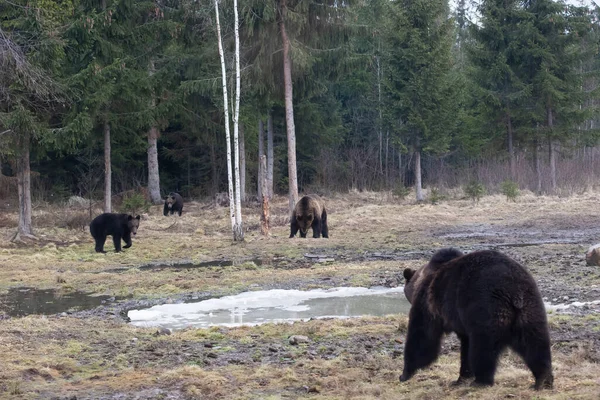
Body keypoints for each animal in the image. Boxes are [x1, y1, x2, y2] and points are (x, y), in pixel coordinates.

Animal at [400, 248, 552, 390]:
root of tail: (514, 290)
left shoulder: (429, 302)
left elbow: (422, 335)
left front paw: (405, 373)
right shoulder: (460, 320)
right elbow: (465, 345)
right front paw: (462, 377)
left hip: (485, 308)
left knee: (483, 347)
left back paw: (481, 381)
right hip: (530, 308)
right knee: (535, 343)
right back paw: (543, 380)